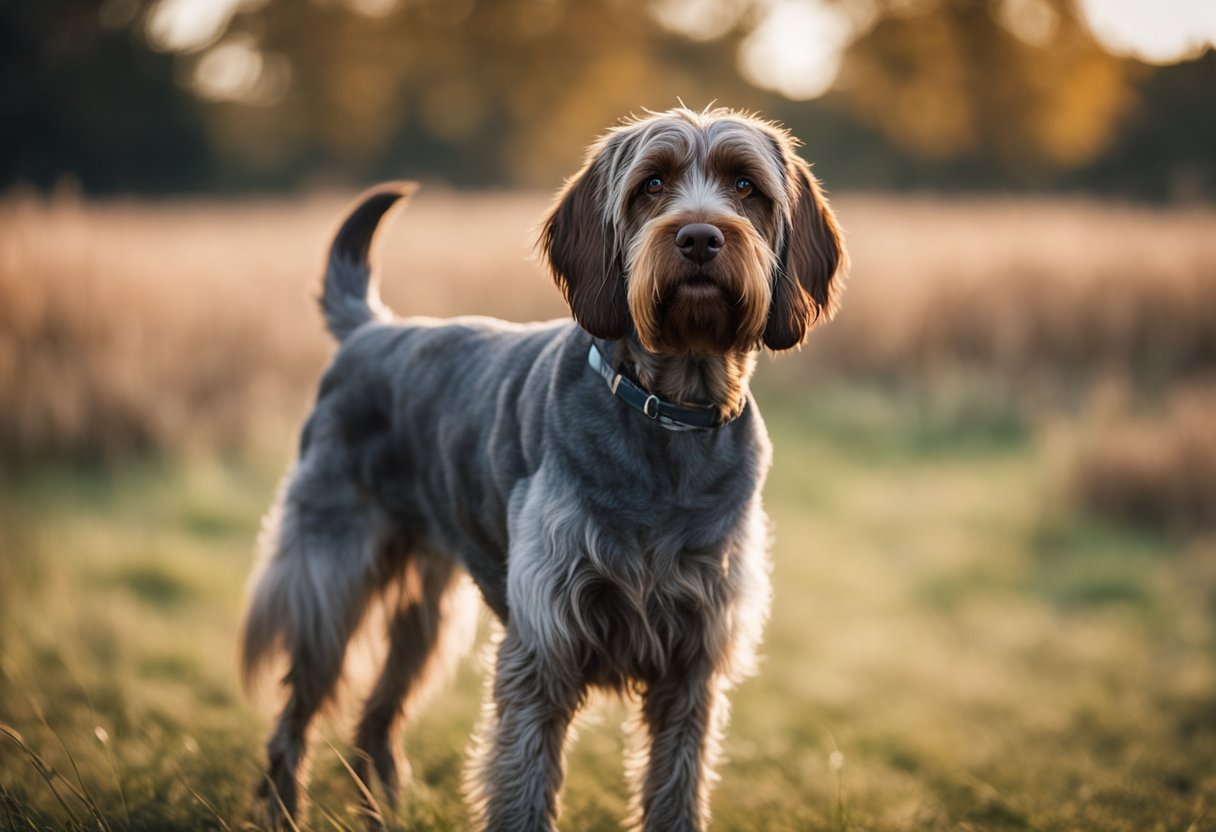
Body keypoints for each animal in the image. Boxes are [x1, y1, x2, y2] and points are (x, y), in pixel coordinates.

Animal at [239, 107, 846, 827]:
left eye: (746, 186)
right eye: (652, 183)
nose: (699, 237)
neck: (668, 418)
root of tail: (369, 330)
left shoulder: (693, 663)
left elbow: (675, 791)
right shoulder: (544, 650)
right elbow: (524, 789)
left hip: (427, 610)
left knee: (376, 717)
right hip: (328, 581)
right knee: (297, 713)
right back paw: (283, 806)